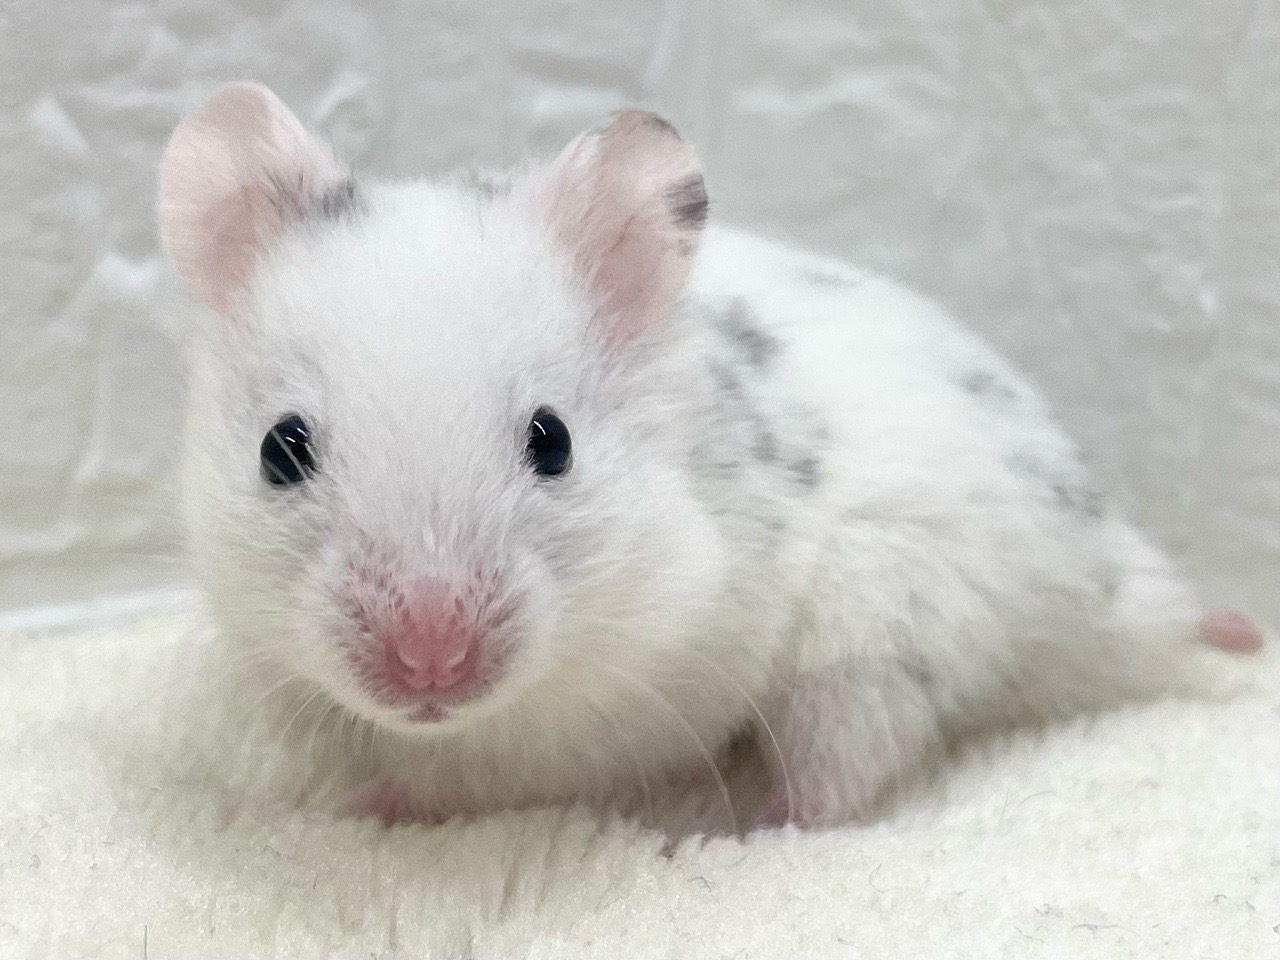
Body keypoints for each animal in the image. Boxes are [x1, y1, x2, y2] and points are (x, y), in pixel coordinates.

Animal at [158, 82, 1264, 832]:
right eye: (281, 450)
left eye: (552, 441)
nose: (429, 661)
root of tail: (1094, 571)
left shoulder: (605, 719)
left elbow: (459, 781)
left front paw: (354, 809)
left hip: (868, 643)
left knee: (840, 781)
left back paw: (735, 827)